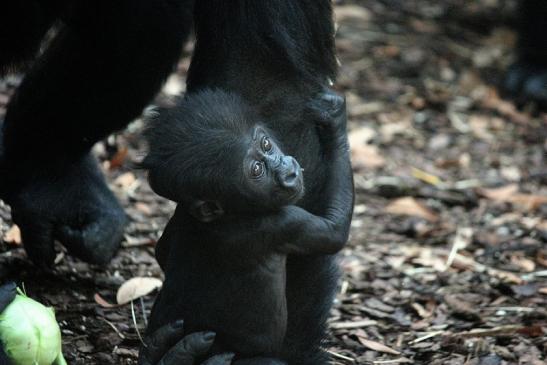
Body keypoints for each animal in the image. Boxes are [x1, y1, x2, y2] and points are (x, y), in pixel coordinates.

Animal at [143, 87, 348, 362]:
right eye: (257, 169)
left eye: (266, 144)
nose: (286, 169)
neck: (229, 214)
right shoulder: (282, 223)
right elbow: (334, 232)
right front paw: (335, 123)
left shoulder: (182, 213)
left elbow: (162, 249)